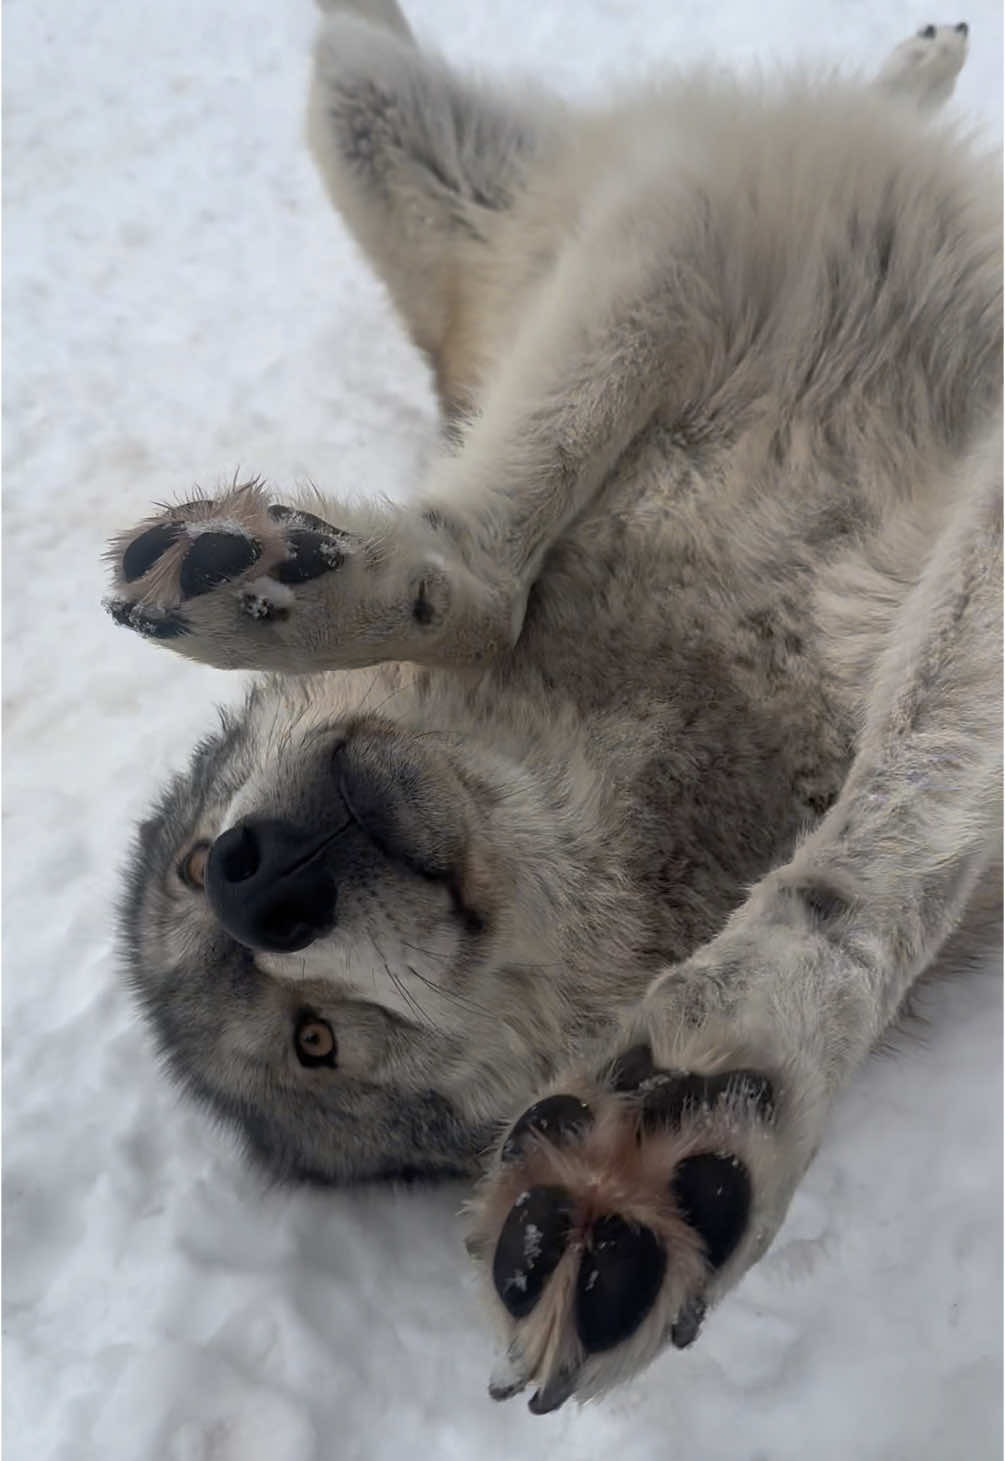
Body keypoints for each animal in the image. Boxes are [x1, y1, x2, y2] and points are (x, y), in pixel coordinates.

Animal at [105, 0, 999, 1414]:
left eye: (199, 863)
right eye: (316, 1045)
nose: (260, 881)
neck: (698, 671)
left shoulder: (658, 251)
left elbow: (484, 559)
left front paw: (300, 584)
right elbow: (901, 829)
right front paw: (718, 1095)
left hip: (395, 145)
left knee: (360, 57)